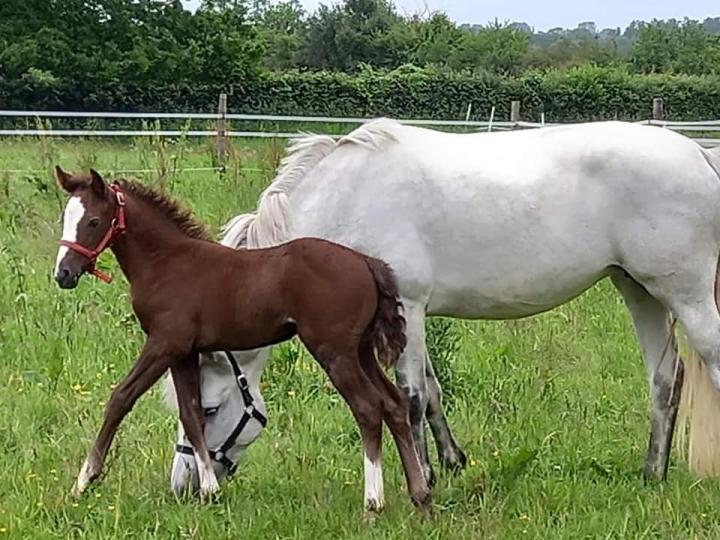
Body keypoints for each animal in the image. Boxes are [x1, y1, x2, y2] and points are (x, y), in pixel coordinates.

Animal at [56, 168, 430, 510]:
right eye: (65, 218)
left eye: (93, 221)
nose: (63, 274)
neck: (166, 262)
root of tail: (367, 262)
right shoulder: (184, 352)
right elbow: (191, 413)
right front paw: (209, 489)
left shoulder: (164, 344)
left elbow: (121, 398)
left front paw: (83, 480)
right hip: (361, 350)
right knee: (394, 403)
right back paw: (420, 495)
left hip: (334, 352)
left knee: (368, 408)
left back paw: (374, 501)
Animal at [170, 119, 720, 506]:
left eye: (210, 409)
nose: (184, 485)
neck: (349, 199)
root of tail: (697, 152)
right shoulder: (408, 319)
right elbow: (432, 390)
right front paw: (452, 461)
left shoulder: (408, 307)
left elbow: (410, 397)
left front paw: (424, 479)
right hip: (638, 289)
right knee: (666, 379)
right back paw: (652, 474)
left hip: (686, 294)